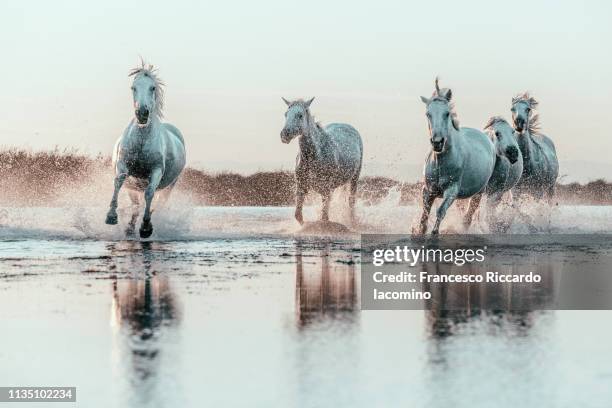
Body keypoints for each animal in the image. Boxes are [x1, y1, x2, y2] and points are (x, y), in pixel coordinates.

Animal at [104, 61, 185, 237]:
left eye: (152, 87)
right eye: (133, 87)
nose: (142, 113)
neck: (141, 140)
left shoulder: (156, 171)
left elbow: (149, 193)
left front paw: (146, 227)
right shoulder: (123, 165)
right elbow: (118, 181)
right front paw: (111, 216)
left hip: (170, 185)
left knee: (157, 203)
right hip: (133, 187)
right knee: (136, 205)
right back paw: (129, 228)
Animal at [278, 98, 360, 226]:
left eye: (300, 115)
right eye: (286, 114)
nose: (284, 135)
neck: (315, 156)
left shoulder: (326, 190)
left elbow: (324, 218)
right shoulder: (301, 187)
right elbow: (298, 215)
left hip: (354, 178)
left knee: (351, 202)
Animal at [416, 78, 498, 234]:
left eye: (447, 113)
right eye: (428, 114)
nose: (437, 142)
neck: (441, 162)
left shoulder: (452, 191)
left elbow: (440, 212)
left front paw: (435, 233)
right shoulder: (428, 190)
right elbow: (424, 217)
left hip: (479, 192)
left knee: (468, 216)